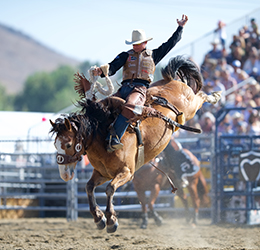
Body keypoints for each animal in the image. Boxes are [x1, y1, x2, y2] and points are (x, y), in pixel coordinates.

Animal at [49, 56, 219, 232]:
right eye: (55, 145)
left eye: (68, 145)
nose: (64, 175)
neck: (104, 136)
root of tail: (172, 81)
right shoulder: (103, 173)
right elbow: (89, 187)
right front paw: (98, 218)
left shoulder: (127, 173)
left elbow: (110, 189)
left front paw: (111, 220)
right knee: (185, 198)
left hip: (191, 107)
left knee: (200, 96)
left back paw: (215, 96)